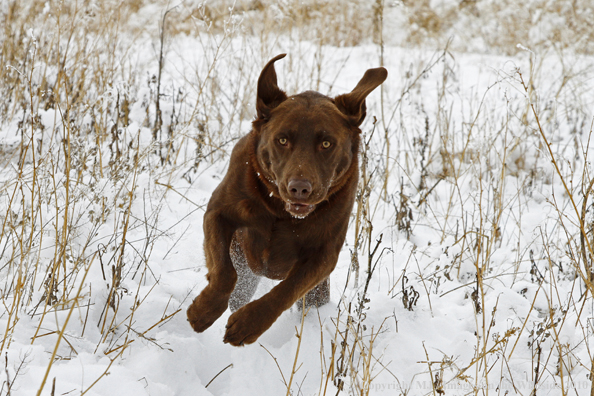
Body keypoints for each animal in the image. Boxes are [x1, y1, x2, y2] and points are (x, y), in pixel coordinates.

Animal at [187, 54, 386, 344]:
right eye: (282, 140)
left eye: (326, 144)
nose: (299, 188)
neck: (279, 211)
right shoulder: (218, 214)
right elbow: (224, 272)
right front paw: (203, 310)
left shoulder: (324, 255)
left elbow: (287, 290)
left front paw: (248, 324)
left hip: (316, 293)